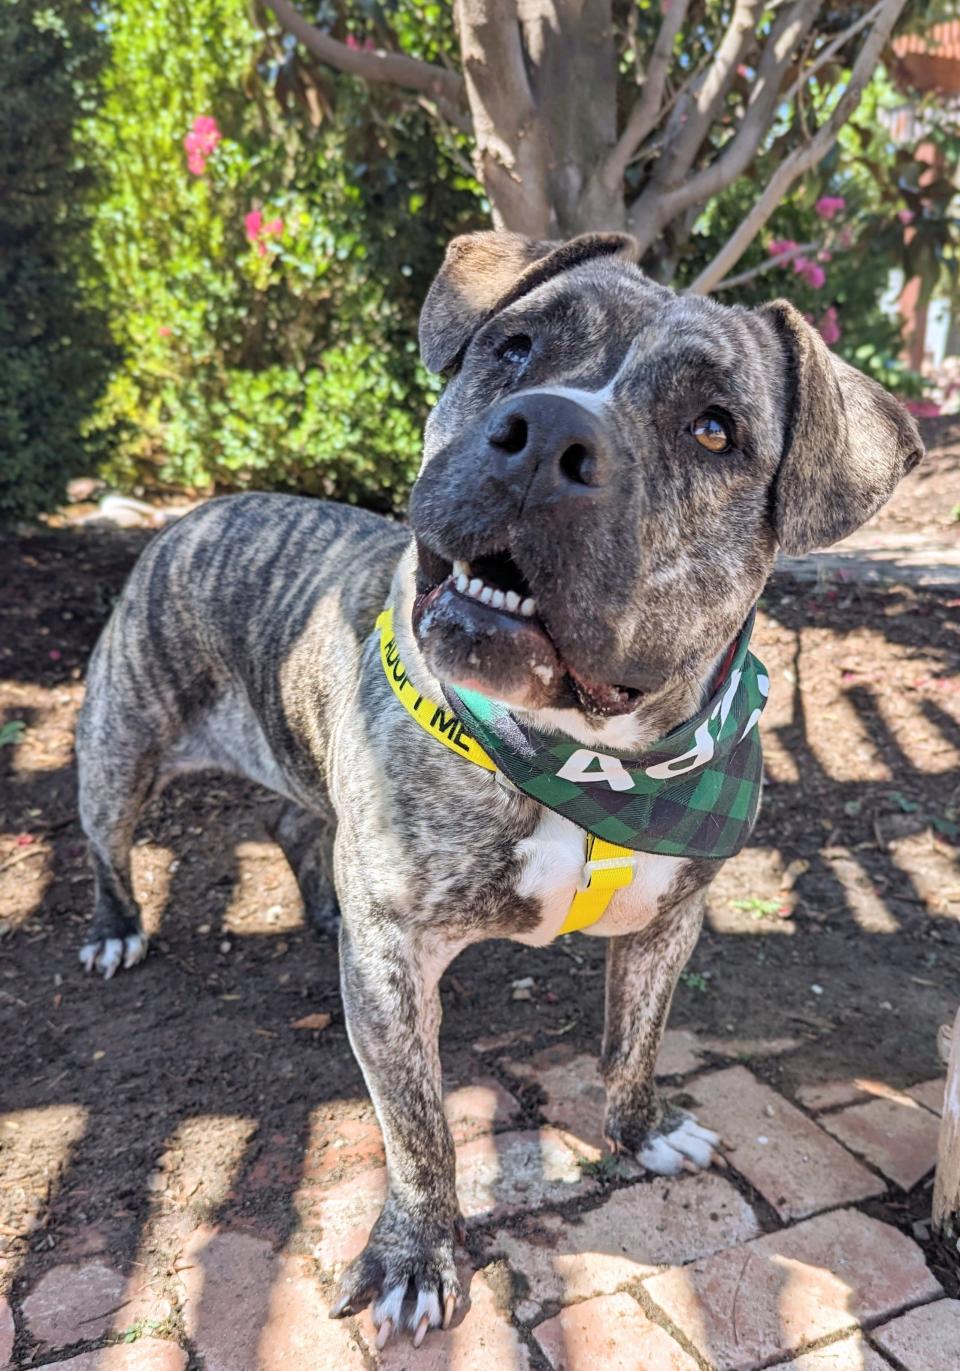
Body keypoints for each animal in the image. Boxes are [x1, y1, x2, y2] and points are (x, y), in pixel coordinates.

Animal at [76, 230, 921, 1343]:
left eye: (715, 429)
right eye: (512, 348)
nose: (546, 432)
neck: (587, 758)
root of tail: (204, 509)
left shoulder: (669, 921)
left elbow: (636, 1040)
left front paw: (643, 1128)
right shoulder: (393, 960)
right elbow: (418, 1127)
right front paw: (415, 1256)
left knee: (300, 826)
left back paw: (316, 904)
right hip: (115, 748)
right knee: (110, 844)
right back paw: (117, 929)